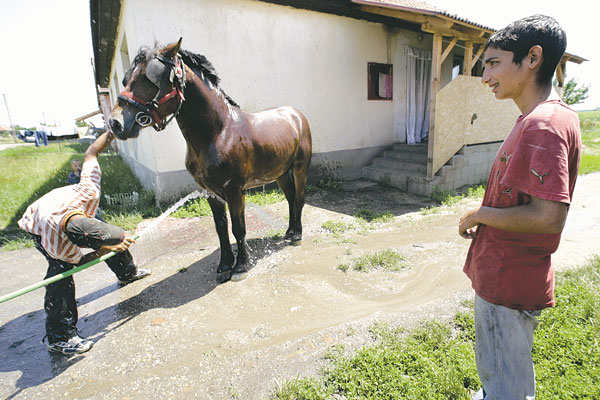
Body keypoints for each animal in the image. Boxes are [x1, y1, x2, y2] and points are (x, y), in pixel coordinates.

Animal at [109, 39, 314, 282]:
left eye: (150, 78)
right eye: (127, 78)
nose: (115, 123)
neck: (218, 133)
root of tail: (296, 115)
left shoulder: (235, 190)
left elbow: (238, 228)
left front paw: (241, 266)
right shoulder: (210, 192)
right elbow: (221, 228)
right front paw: (224, 265)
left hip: (300, 169)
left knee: (299, 198)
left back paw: (297, 234)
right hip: (281, 173)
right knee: (291, 198)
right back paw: (289, 231)